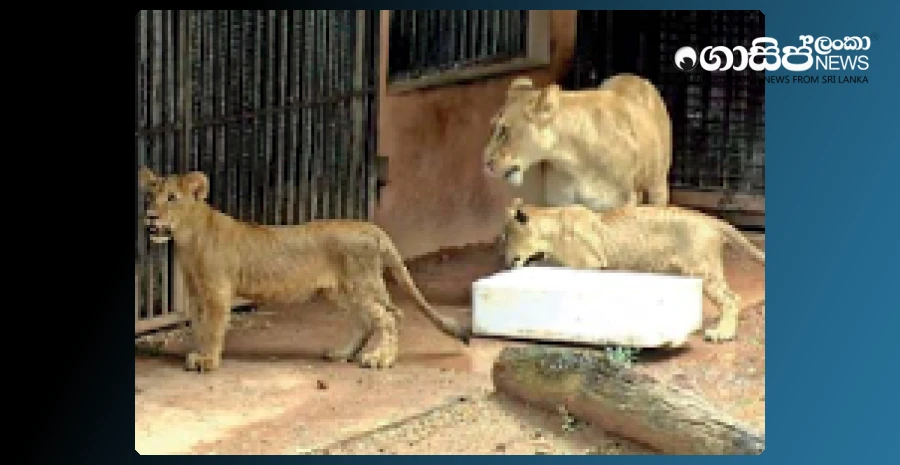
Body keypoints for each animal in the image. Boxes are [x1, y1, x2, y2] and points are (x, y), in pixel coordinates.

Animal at [137, 167, 470, 372]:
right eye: (149, 196)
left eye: (172, 198)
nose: (150, 216)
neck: (187, 238)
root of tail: (370, 226)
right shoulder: (196, 293)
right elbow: (198, 326)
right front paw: (197, 354)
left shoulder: (217, 291)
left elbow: (214, 327)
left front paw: (208, 361)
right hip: (341, 291)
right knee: (366, 321)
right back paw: (342, 354)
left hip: (361, 284)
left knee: (389, 317)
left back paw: (380, 359)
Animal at [483, 73, 672, 212]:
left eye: (504, 130)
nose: (485, 163)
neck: (574, 162)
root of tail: (633, 76)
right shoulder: (559, 204)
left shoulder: (619, 204)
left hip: (658, 184)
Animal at [500, 198, 765, 343]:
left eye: (506, 238)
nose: (505, 260)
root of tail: (712, 219)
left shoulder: (591, 265)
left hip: (702, 268)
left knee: (731, 298)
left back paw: (722, 333)